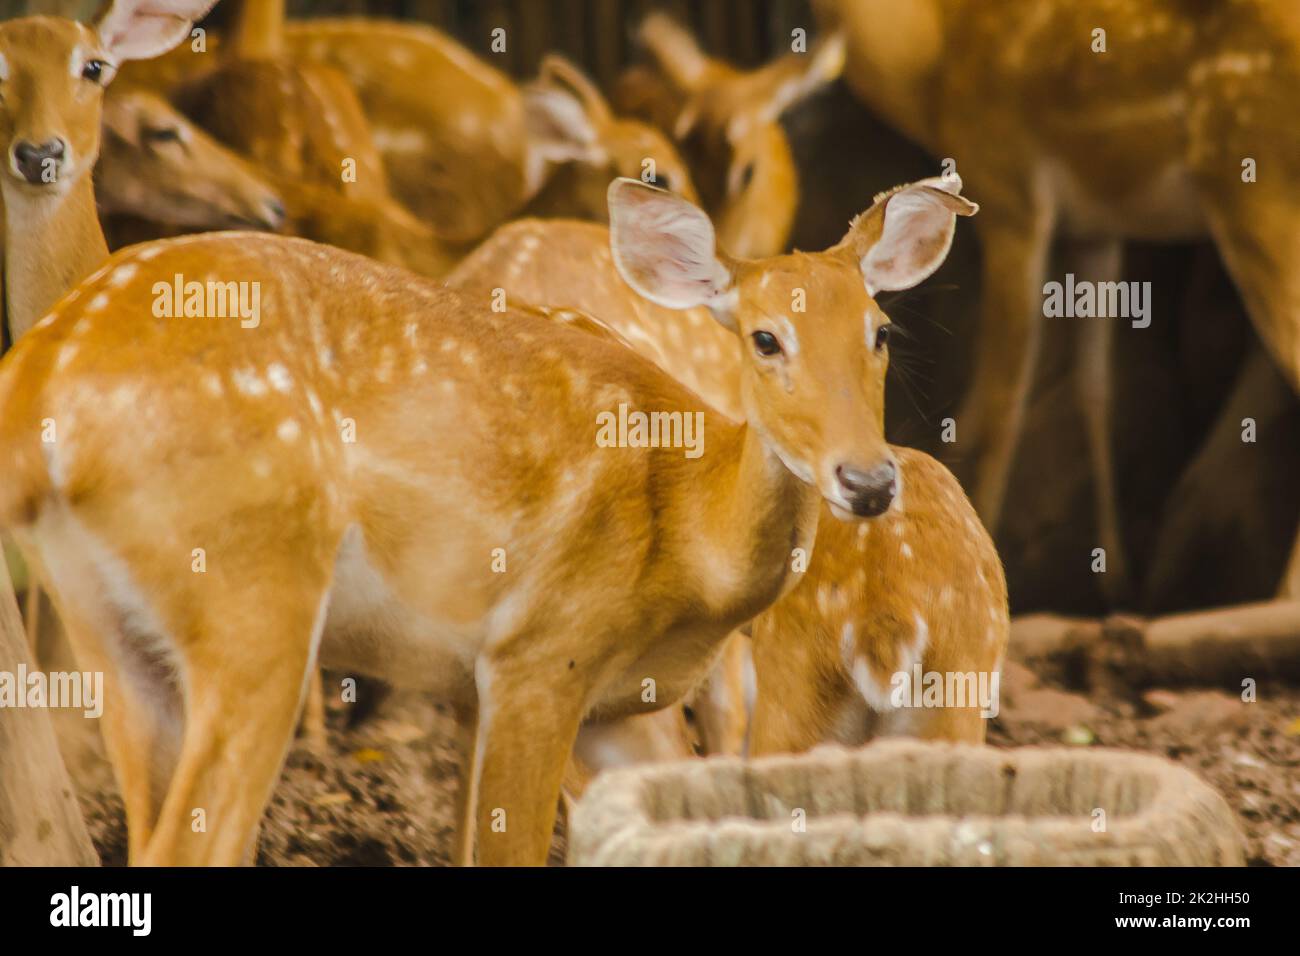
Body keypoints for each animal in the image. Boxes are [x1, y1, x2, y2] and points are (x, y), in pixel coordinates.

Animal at [0, 153, 977, 863]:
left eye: (880, 331)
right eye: (766, 338)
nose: (868, 480)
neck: (688, 547)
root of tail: (40, 378)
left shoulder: (573, 704)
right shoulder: (540, 654)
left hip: (108, 623)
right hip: (254, 590)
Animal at [816, 0, 1300, 606]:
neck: (932, 64)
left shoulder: (1008, 191)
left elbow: (999, 406)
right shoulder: (1093, 231)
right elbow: (1094, 387)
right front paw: (1115, 580)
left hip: (1253, 187)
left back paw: (1279, 597)